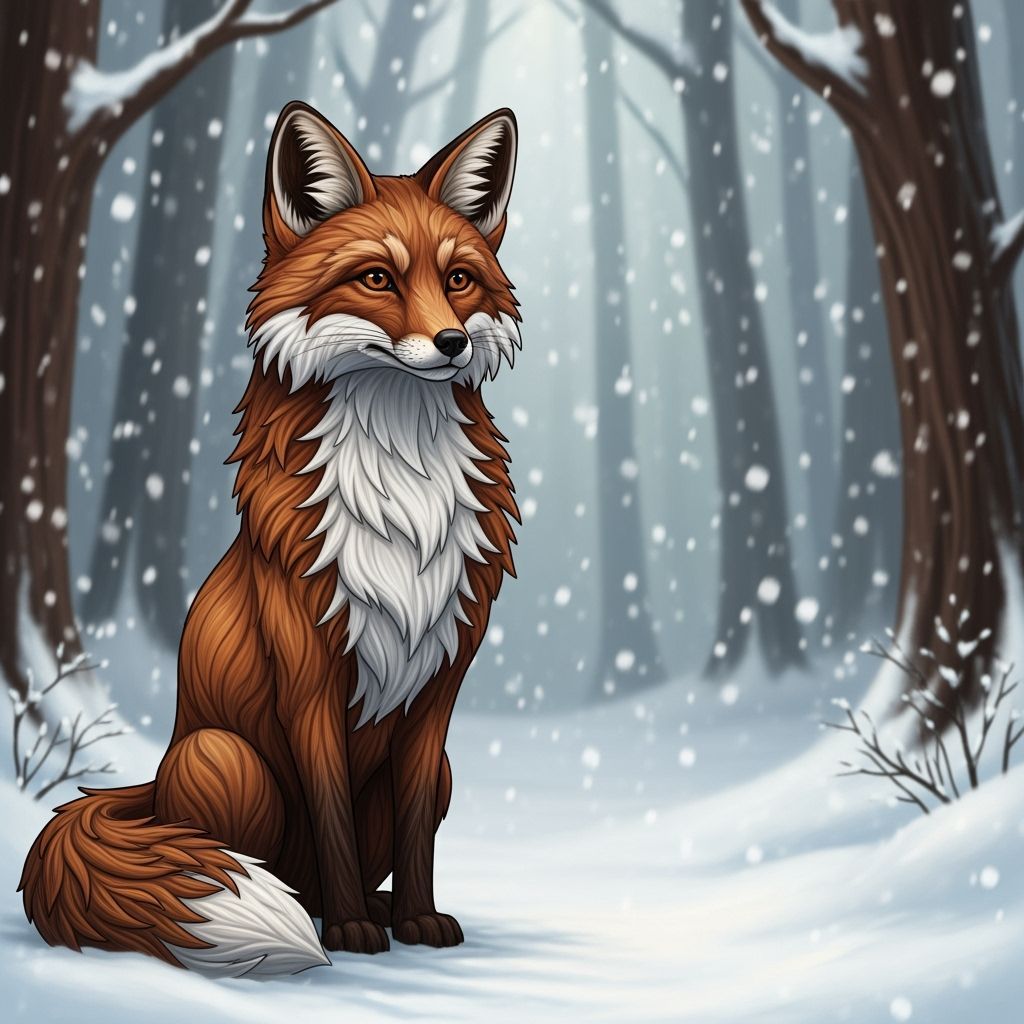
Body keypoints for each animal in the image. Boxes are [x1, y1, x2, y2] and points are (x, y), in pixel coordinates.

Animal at [19, 101, 521, 977]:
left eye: (459, 279)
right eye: (378, 278)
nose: (453, 342)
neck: (400, 489)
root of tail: (147, 788)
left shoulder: (440, 685)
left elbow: (416, 832)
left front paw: (417, 920)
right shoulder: (308, 670)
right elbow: (330, 814)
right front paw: (351, 934)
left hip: (440, 770)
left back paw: (374, 909)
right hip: (227, 758)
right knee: (272, 864)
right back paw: (317, 911)